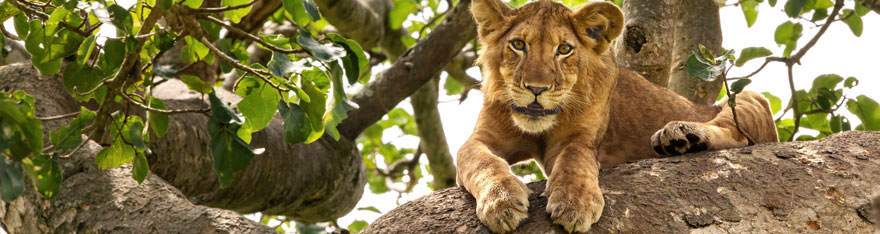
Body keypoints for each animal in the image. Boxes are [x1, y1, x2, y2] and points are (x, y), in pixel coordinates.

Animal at [458, 0, 780, 232]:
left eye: (564, 49)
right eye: (518, 45)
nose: (537, 89)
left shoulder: (581, 138)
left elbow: (574, 161)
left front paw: (575, 203)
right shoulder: (480, 139)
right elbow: (482, 162)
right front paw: (501, 201)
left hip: (751, 100)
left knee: (737, 136)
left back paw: (680, 135)